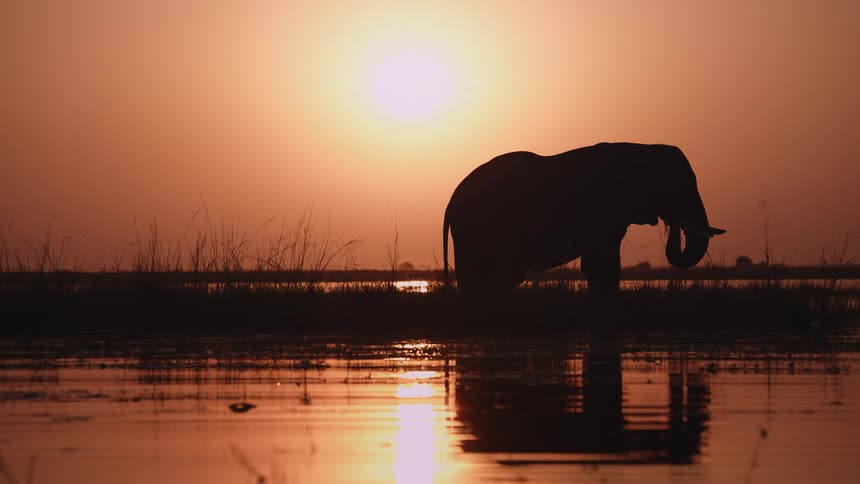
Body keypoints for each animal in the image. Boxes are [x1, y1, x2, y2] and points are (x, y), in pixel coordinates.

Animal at [442, 142, 725, 294]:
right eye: (677, 186)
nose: (672, 222)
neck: (641, 148)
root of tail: (450, 202)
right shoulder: (603, 209)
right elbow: (602, 263)